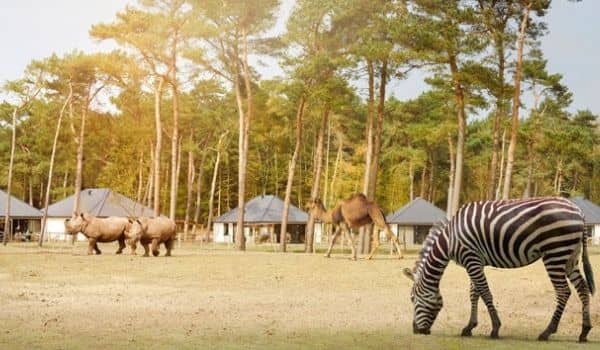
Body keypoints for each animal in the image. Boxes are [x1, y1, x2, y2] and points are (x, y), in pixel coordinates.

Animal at [404, 197, 596, 342]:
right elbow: (474, 293)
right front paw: (469, 327)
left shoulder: (471, 258)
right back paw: (584, 331)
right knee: (583, 288)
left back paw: (547, 332)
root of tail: (579, 211)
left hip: (555, 254)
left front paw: (495, 328)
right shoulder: (474, 261)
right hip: (570, 256)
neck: (450, 239)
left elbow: (485, 293)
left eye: (413, 299)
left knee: (563, 292)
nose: (415, 330)